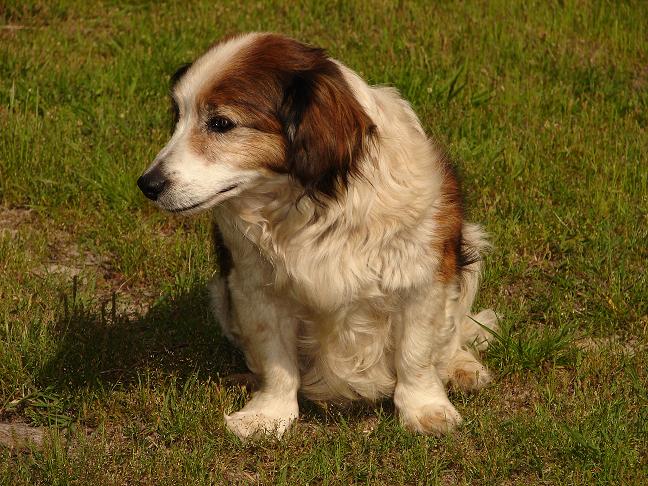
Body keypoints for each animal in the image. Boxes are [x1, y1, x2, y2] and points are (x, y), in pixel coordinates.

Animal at [137, 32, 498, 438]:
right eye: (178, 117)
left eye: (221, 123)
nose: (147, 184)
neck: (312, 205)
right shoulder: (254, 287)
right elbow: (276, 360)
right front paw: (269, 415)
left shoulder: (422, 279)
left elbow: (416, 353)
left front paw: (424, 409)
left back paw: (461, 367)